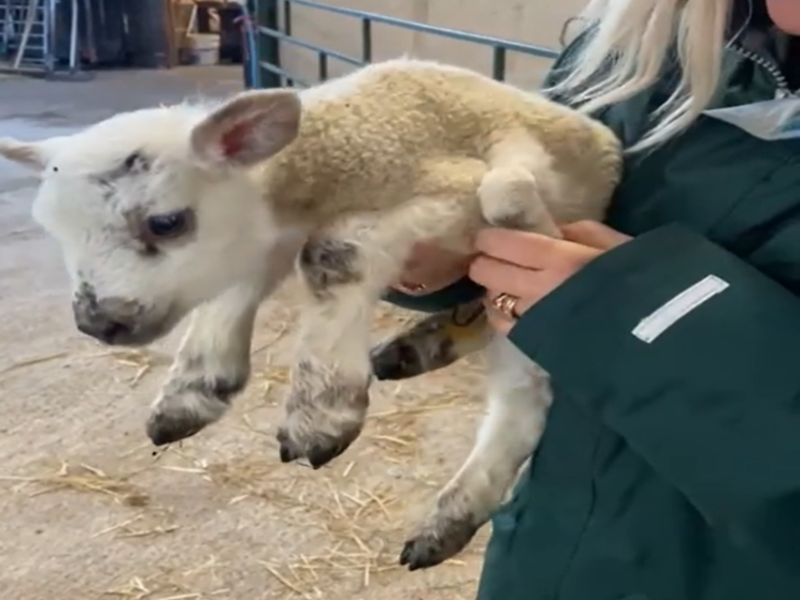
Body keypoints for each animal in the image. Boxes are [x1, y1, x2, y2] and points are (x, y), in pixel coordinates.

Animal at [0, 57, 623, 571]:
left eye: (166, 222)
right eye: (55, 230)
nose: (97, 322)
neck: (342, 148)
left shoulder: (460, 195)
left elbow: (331, 251)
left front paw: (320, 412)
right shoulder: (271, 233)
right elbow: (240, 279)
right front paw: (194, 389)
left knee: (523, 396)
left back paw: (448, 515)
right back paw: (419, 346)